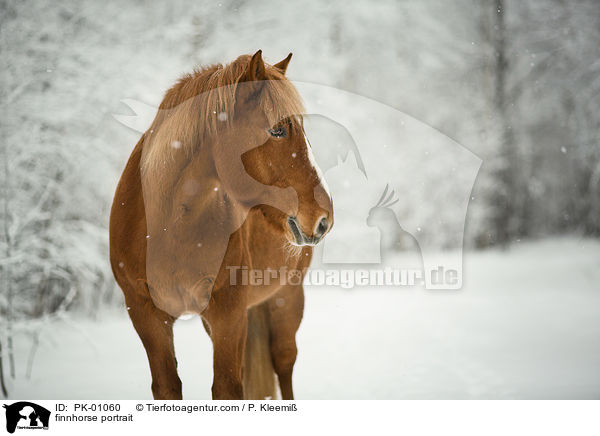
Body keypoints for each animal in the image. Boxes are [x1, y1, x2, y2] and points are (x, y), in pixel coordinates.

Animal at [108, 50, 332, 398]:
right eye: (277, 130)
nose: (324, 217)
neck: (170, 228)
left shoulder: (229, 312)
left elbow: (227, 387)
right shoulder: (146, 314)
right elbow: (168, 386)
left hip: (287, 296)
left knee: (284, 362)